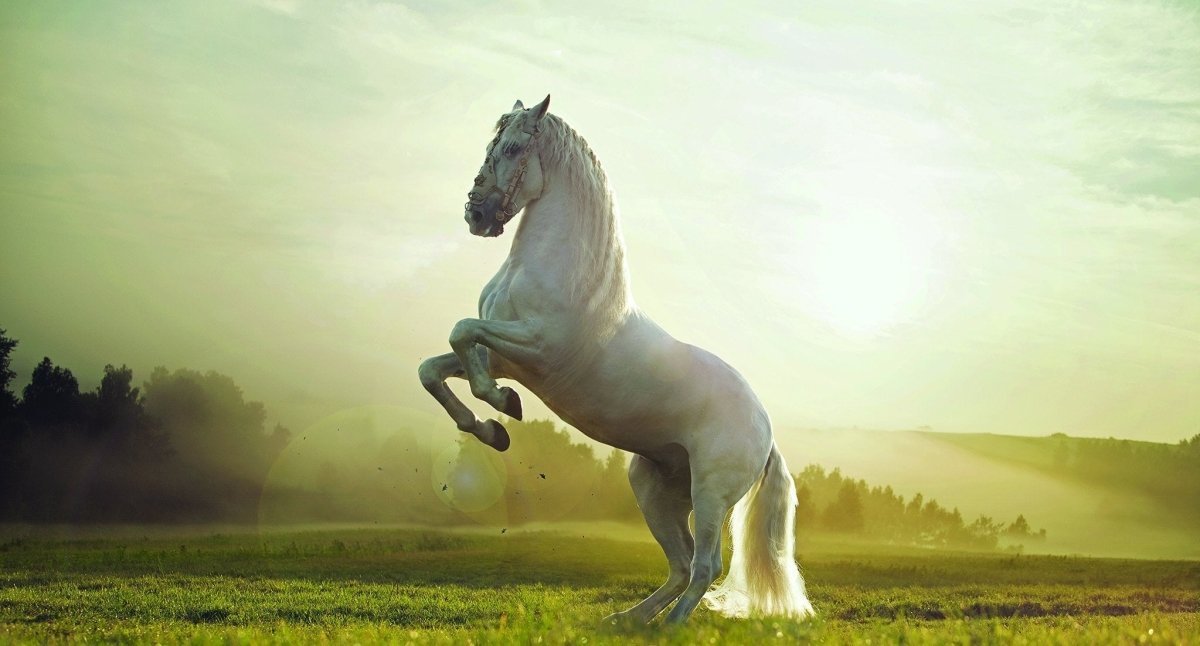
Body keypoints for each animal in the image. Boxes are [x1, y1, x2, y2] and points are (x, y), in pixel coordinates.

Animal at [417, 95, 815, 624]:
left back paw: (668, 628)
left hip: (711, 494)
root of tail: (765, 430)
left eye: (515, 147)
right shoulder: (504, 356)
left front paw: (502, 407)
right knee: (682, 564)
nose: (476, 214)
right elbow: (435, 367)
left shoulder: (535, 347)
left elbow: (462, 333)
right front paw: (491, 429)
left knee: (705, 565)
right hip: (654, 489)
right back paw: (628, 621)